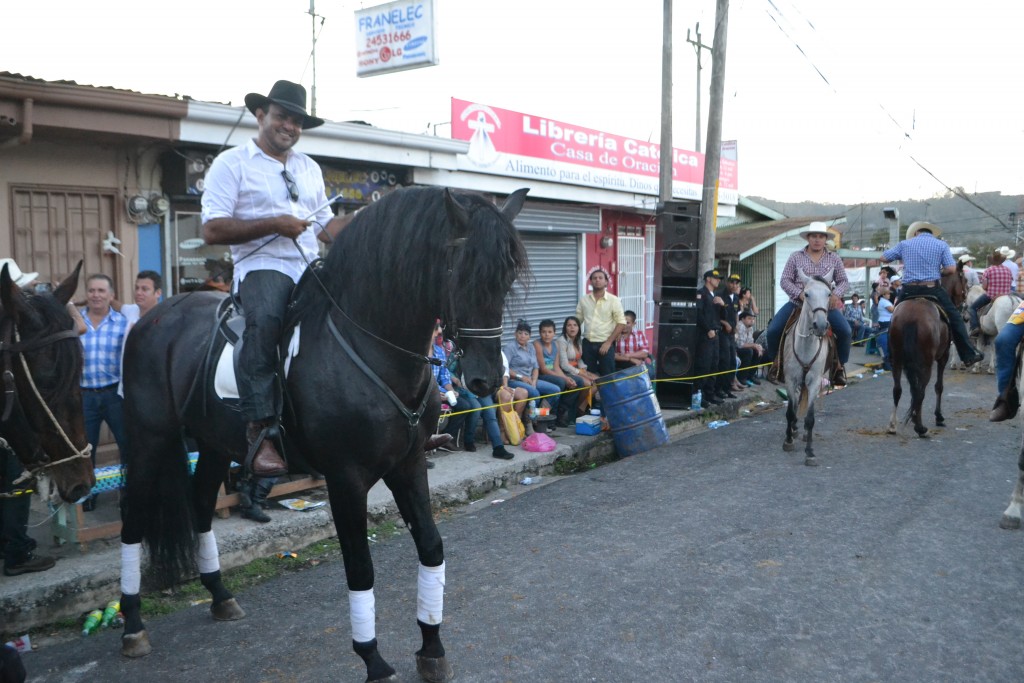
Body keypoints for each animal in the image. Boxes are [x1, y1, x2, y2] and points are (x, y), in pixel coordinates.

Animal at [119, 187, 528, 683]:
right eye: (462, 273)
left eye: (506, 278)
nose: (487, 378)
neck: (371, 347)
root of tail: (155, 317)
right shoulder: (345, 479)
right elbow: (360, 567)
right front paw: (373, 659)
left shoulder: (409, 465)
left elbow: (431, 547)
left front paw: (431, 647)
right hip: (149, 437)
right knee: (133, 516)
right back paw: (133, 625)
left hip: (215, 442)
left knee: (199, 504)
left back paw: (219, 595)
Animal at [888, 264, 966, 436]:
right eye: (964, 279)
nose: (964, 306)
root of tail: (912, 316)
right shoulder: (943, 356)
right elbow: (939, 386)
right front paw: (938, 416)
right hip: (926, 363)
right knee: (921, 391)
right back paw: (920, 427)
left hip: (897, 358)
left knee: (898, 389)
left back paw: (893, 425)